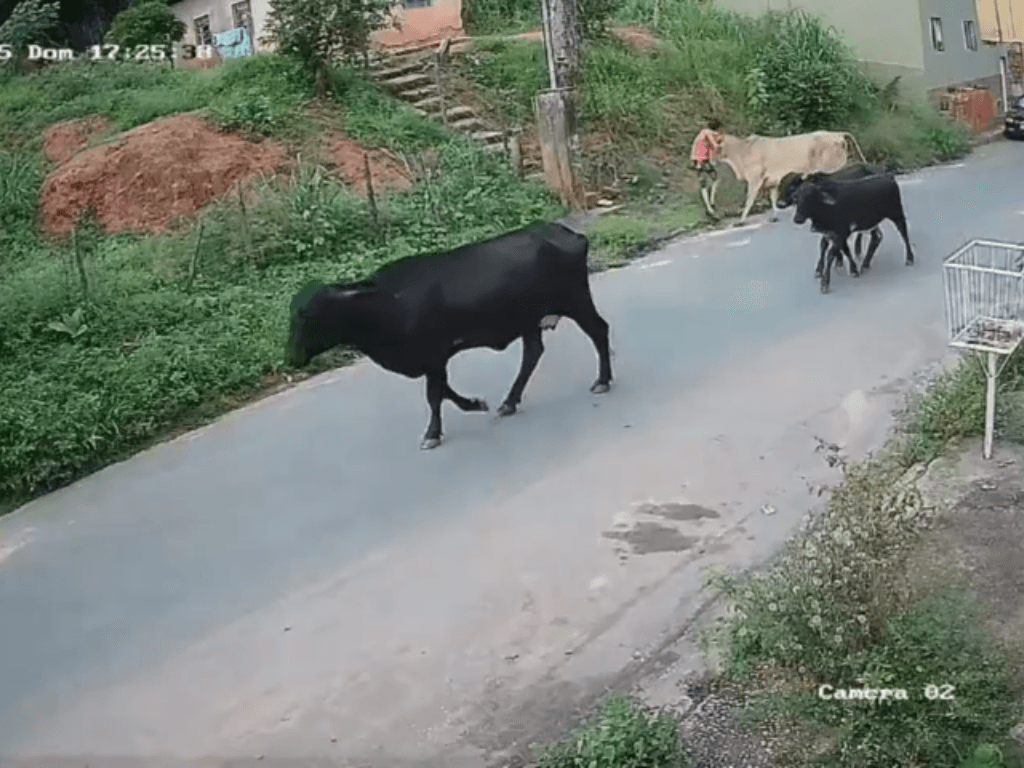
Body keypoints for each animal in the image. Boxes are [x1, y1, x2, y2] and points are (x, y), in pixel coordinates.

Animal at [285, 222, 614, 450]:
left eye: (307, 315)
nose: (291, 358)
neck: (387, 304)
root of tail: (564, 232)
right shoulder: (433, 358)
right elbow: (443, 391)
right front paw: (474, 404)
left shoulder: (434, 354)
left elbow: (434, 394)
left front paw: (433, 433)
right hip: (529, 320)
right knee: (532, 353)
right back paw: (509, 402)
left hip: (576, 300)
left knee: (599, 331)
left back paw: (602, 380)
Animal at [712, 131, 868, 225]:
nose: (710, 162)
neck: (743, 150)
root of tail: (838, 134)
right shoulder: (772, 182)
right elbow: (773, 199)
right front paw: (773, 217)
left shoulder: (755, 180)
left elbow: (749, 200)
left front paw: (741, 221)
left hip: (834, 168)